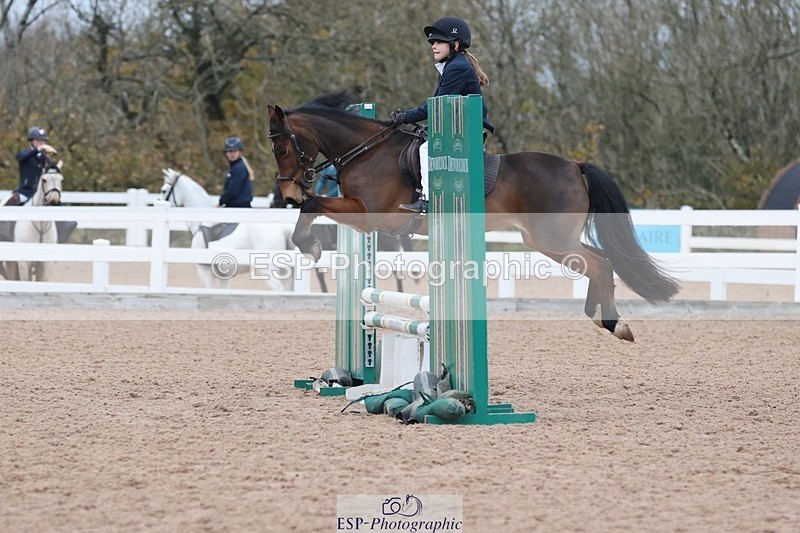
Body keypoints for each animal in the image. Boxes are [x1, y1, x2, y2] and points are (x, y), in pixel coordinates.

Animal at [159, 169, 295, 290]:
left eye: (163, 190)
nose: (156, 203)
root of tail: (283, 228)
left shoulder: (204, 271)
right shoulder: (225, 276)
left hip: (267, 270)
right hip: (284, 270)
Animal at [267, 92, 680, 342]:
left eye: (283, 148)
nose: (287, 193)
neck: (366, 151)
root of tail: (575, 166)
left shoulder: (369, 217)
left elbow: (312, 206)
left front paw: (310, 246)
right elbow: (312, 207)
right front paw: (310, 243)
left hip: (550, 240)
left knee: (600, 263)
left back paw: (613, 322)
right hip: (551, 240)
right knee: (601, 261)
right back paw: (602, 317)